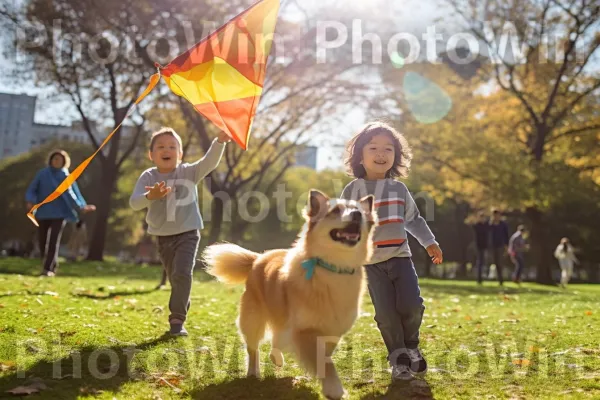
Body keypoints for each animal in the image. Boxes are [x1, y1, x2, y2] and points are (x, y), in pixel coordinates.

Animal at [204, 189, 378, 398]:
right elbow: (325, 362)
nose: (357, 215)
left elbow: (325, 355)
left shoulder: (332, 330)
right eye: (335, 210)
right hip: (253, 319)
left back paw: (276, 358)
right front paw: (334, 389)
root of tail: (258, 257)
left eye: (358, 210)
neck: (334, 268)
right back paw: (253, 372)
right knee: (253, 347)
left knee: (277, 338)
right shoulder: (305, 330)